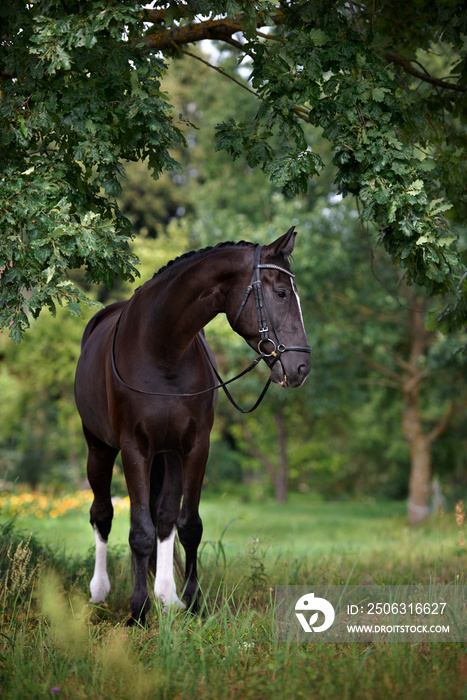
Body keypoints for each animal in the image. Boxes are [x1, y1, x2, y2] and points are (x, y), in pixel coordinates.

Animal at [74, 228, 310, 624]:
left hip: (168, 455)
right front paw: (138, 611)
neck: (162, 348)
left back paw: (167, 595)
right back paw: (100, 590)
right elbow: (139, 531)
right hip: (99, 448)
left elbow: (188, 526)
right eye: (280, 293)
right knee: (102, 514)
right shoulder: (134, 449)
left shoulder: (196, 447)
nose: (302, 367)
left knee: (165, 517)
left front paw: (193, 603)